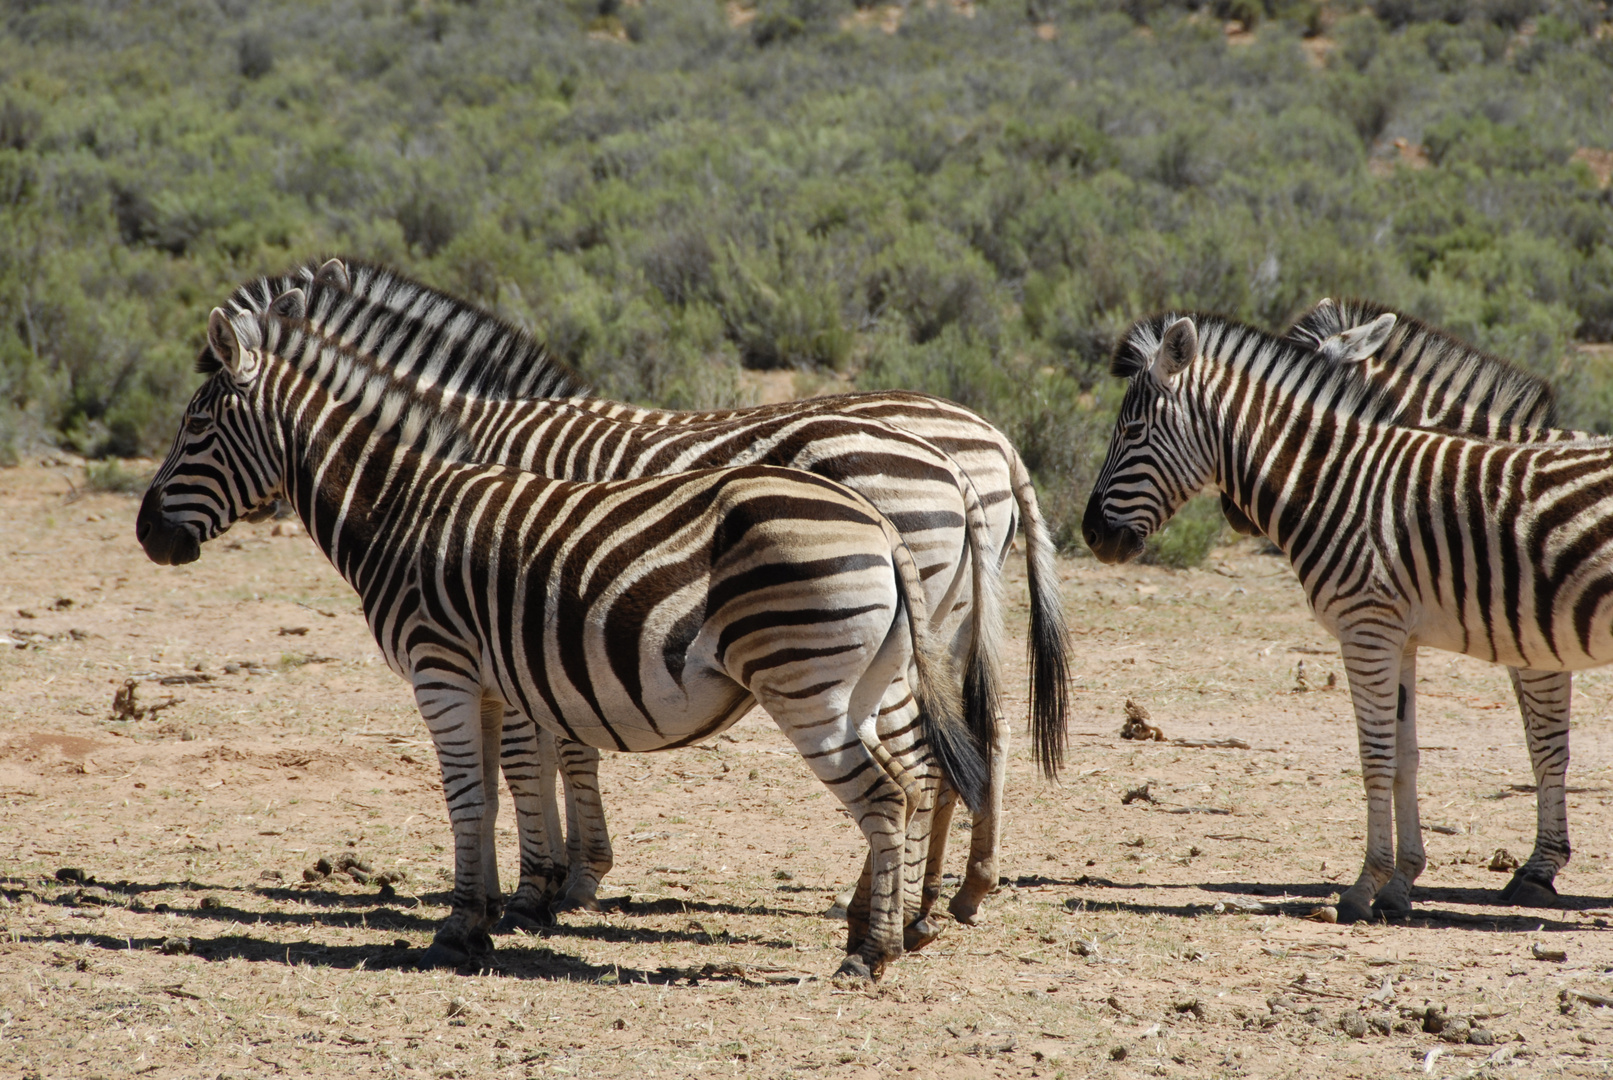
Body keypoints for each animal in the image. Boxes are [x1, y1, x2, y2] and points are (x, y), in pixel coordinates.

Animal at [138, 298, 987, 980]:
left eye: (196, 426)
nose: (147, 535)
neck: (398, 505)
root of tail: (878, 517)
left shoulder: (440, 667)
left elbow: (469, 794)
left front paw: (467, 924)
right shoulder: (483, 680)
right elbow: (488, 795)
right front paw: (481, 916)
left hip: (806, 682)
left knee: (884, 794)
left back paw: (868, 953)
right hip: (873, 679)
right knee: (919, 778)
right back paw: (893, 926)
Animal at [1077, 315, 1613, 928]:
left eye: (1132, 429)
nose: (1091, 533)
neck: (1342, 483)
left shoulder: (1372, 629)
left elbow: (1381, 756)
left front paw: (1363, 888)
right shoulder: (1400, 636)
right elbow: (1406, 757)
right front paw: (1400, 886)